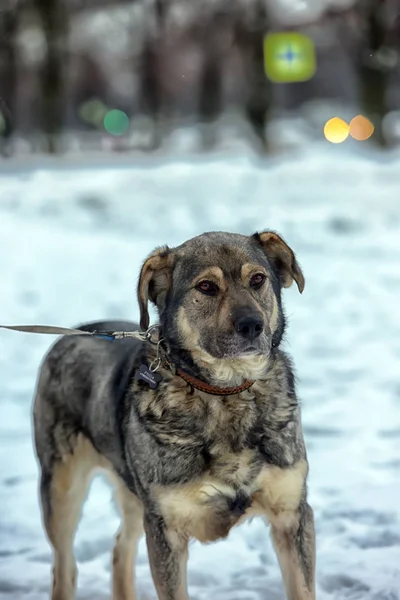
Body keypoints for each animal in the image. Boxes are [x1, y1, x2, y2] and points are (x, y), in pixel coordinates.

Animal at [33, 230, 316, 600]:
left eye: (257, 279)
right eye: (206, 286)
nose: (252, 325)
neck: (225, 394)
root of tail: (77, 332)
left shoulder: (292, 514)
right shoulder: (166, 528)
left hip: (134, 495)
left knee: (120, 548)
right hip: (63, 488)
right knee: (64, 566)